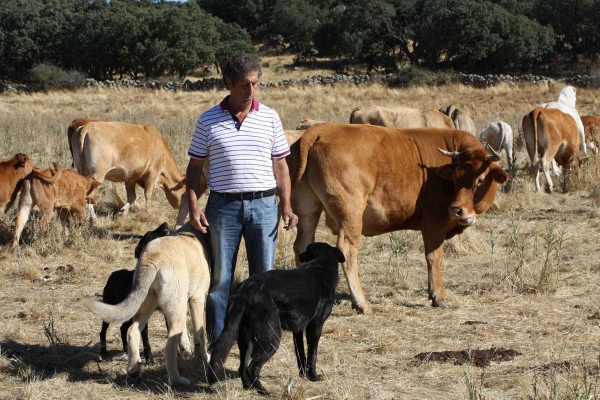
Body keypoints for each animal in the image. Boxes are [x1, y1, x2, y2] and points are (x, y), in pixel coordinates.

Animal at [207, 241, 344, 394]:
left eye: (308, 249)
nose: (300, 256)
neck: (322, 266)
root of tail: (245, 290)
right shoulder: (316, 326)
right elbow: (312, 355)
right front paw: (313, 377)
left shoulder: (298, 331)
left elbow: (301, 355)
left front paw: (303, 375)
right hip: (272, 338)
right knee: (252, 368)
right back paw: (263, 391)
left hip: (245, 338)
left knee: (242, 367)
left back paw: (249, 387)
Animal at [286, 123, 506, 314]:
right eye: (455, 178)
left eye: (480, 179)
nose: (456, 210)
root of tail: (319, 130)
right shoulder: (435, 220)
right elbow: (434, 256)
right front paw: (439, 295)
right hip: (350, 212)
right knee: (347, 250)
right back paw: (362, 303)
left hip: (307, 212)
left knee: (301, 246)